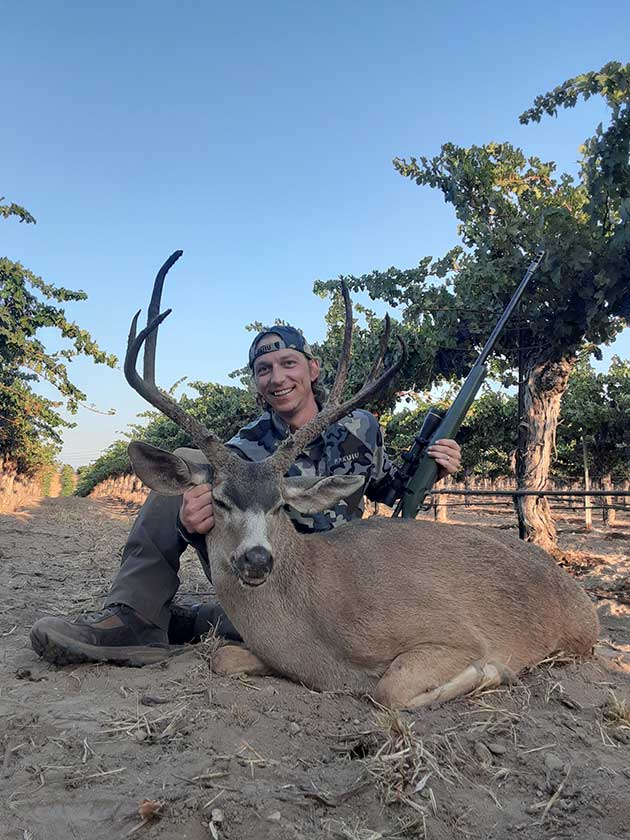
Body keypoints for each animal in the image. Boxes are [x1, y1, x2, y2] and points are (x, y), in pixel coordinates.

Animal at [123, 253, 599, 710]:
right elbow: (221, 656)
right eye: (219, 501)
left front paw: (493, 673)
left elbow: (389, 690)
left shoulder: (455, 632)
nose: (256, 559)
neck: (316, 617)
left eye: (280, 505)